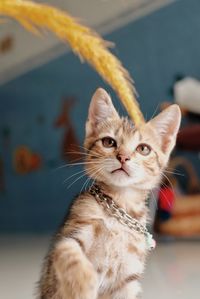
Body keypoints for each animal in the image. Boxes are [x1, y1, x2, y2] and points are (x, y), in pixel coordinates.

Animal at [38, 88, 181, 298]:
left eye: (143, 148)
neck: (118, 206)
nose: (123, 157)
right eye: (108, 142)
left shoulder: (128, 277)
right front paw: (82, 281)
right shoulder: (69, 235)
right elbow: (67, 251)